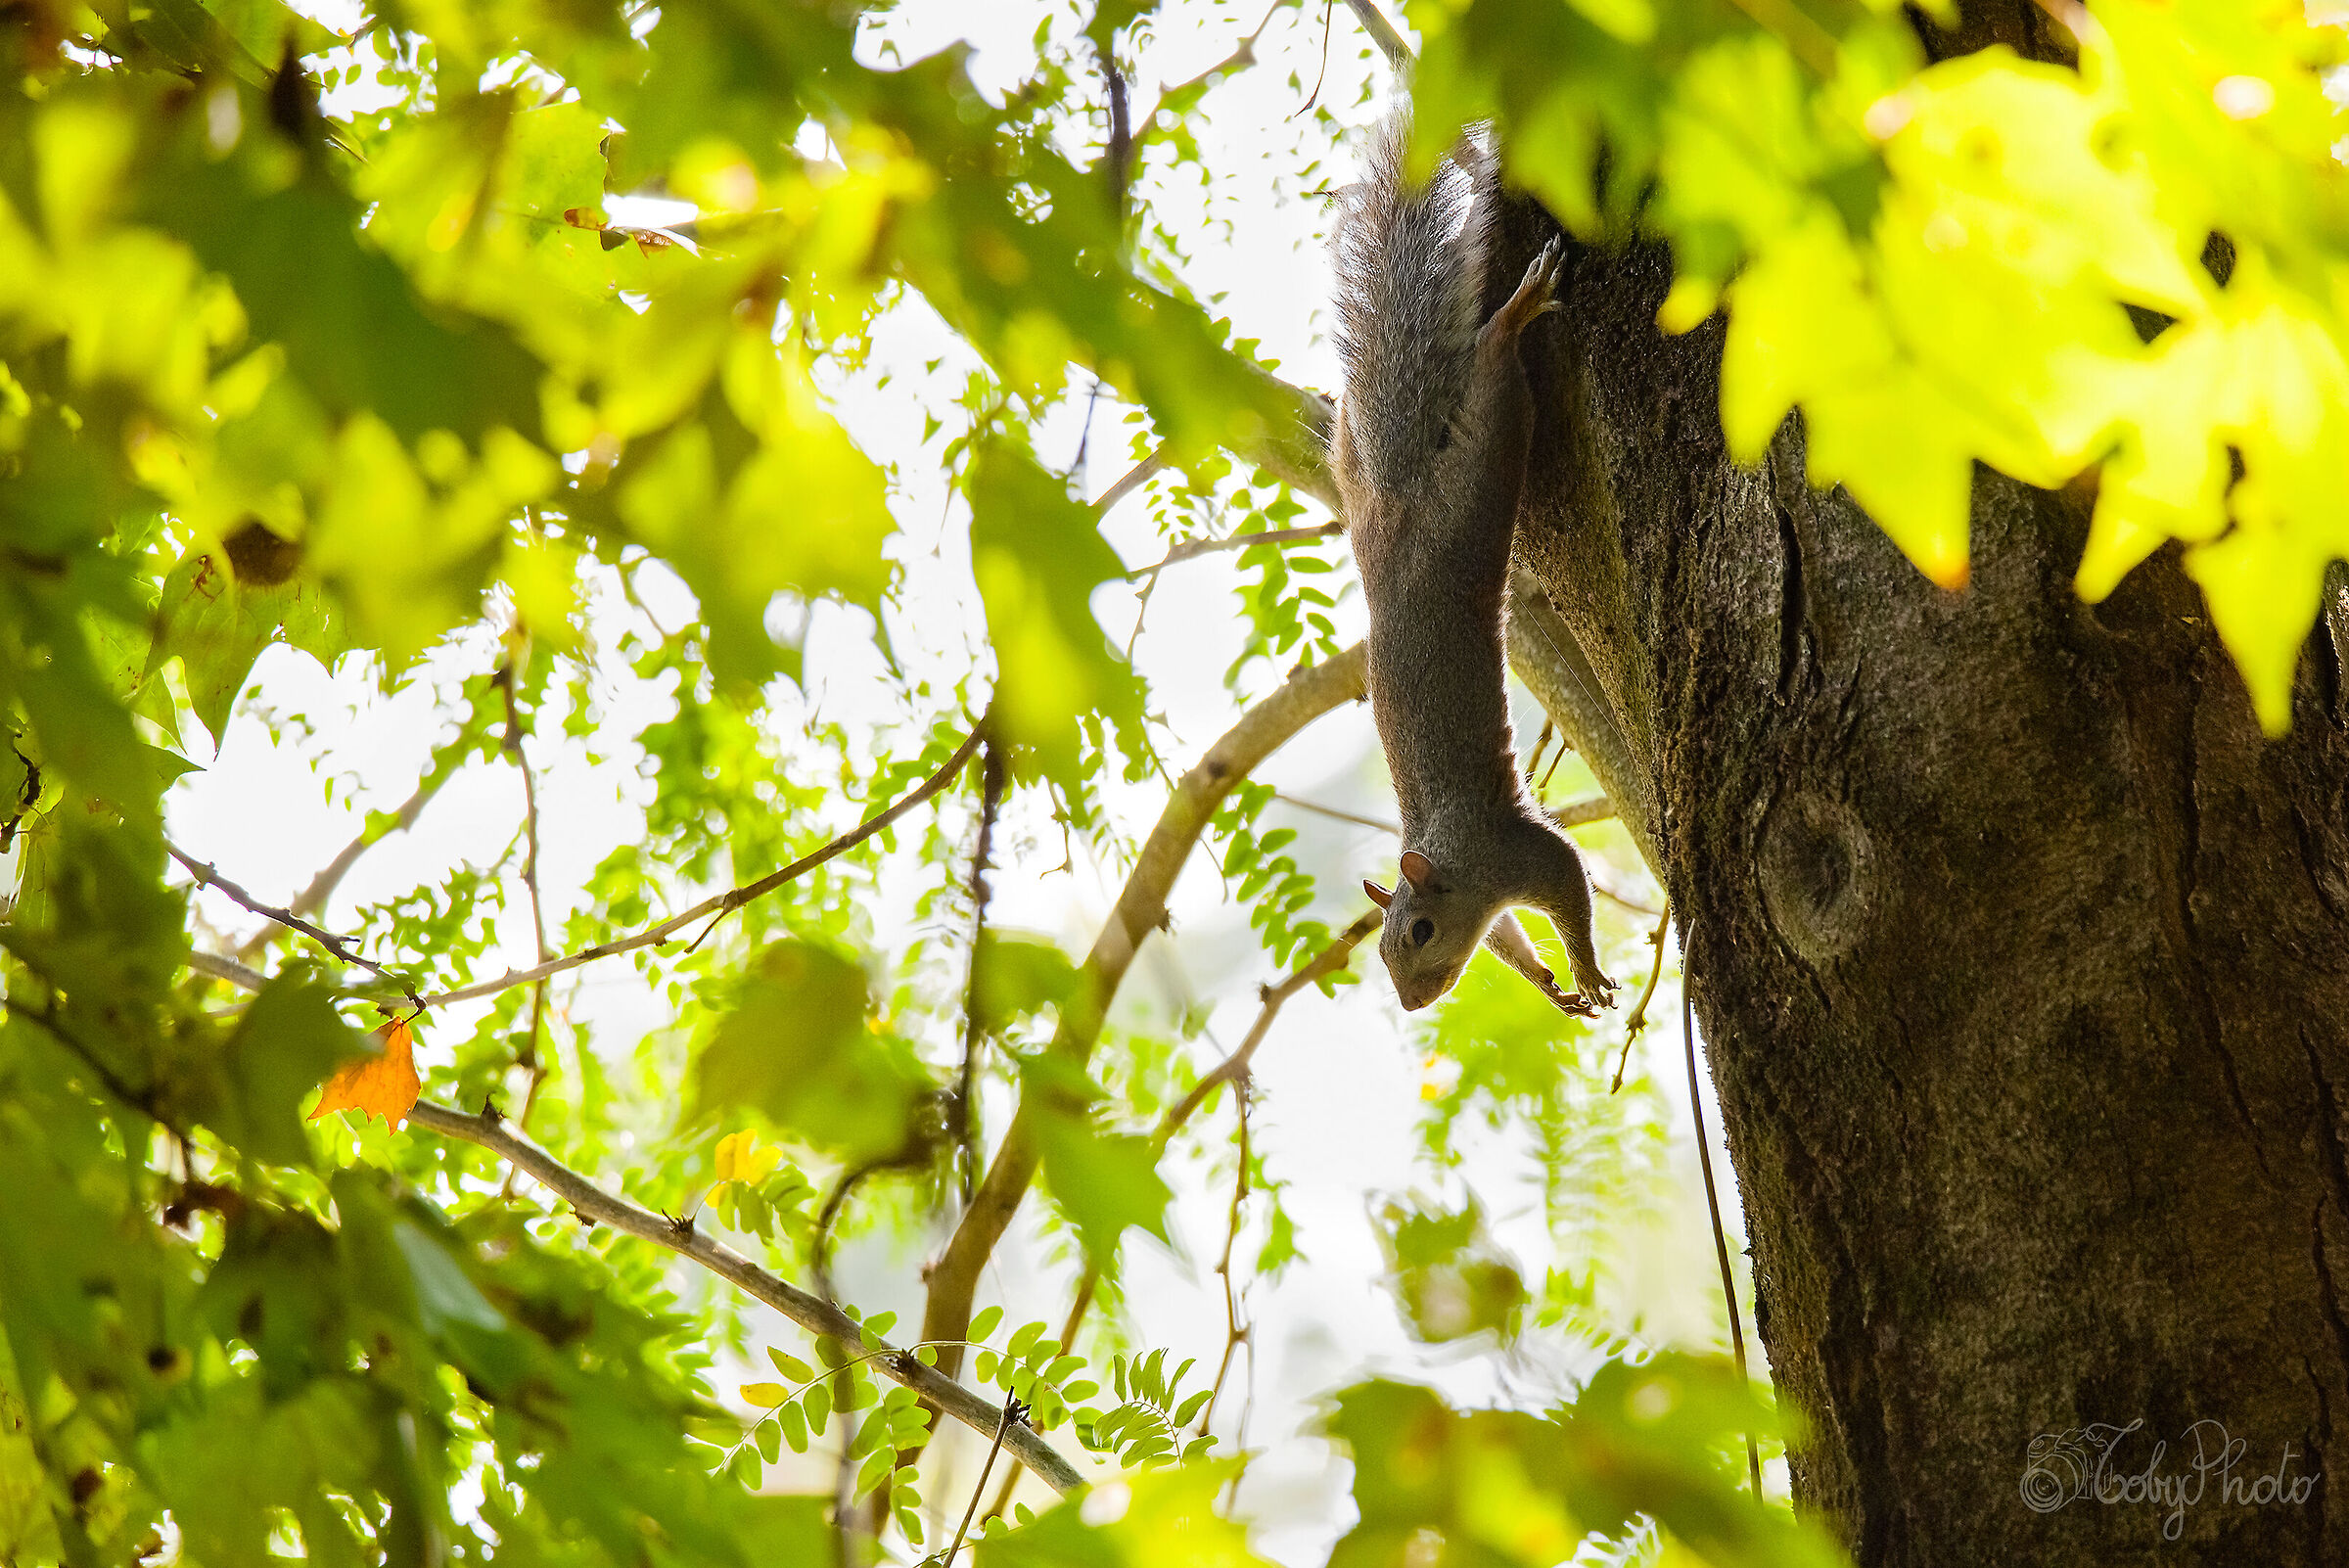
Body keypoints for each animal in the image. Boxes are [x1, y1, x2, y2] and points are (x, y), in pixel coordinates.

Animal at [1328, 110, 1616, 1018]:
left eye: (1420, 933)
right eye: (1386, 950)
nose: (1415, 1002)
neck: (1453, 860)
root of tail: (1397, 507)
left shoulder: (1515, 850)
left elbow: (1569, 886)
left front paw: (1587, 969)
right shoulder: (1495, 894)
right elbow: (1515, 937)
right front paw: (1550, 985)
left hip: (1482, 459)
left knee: (1492, 359)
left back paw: (1519, 308)